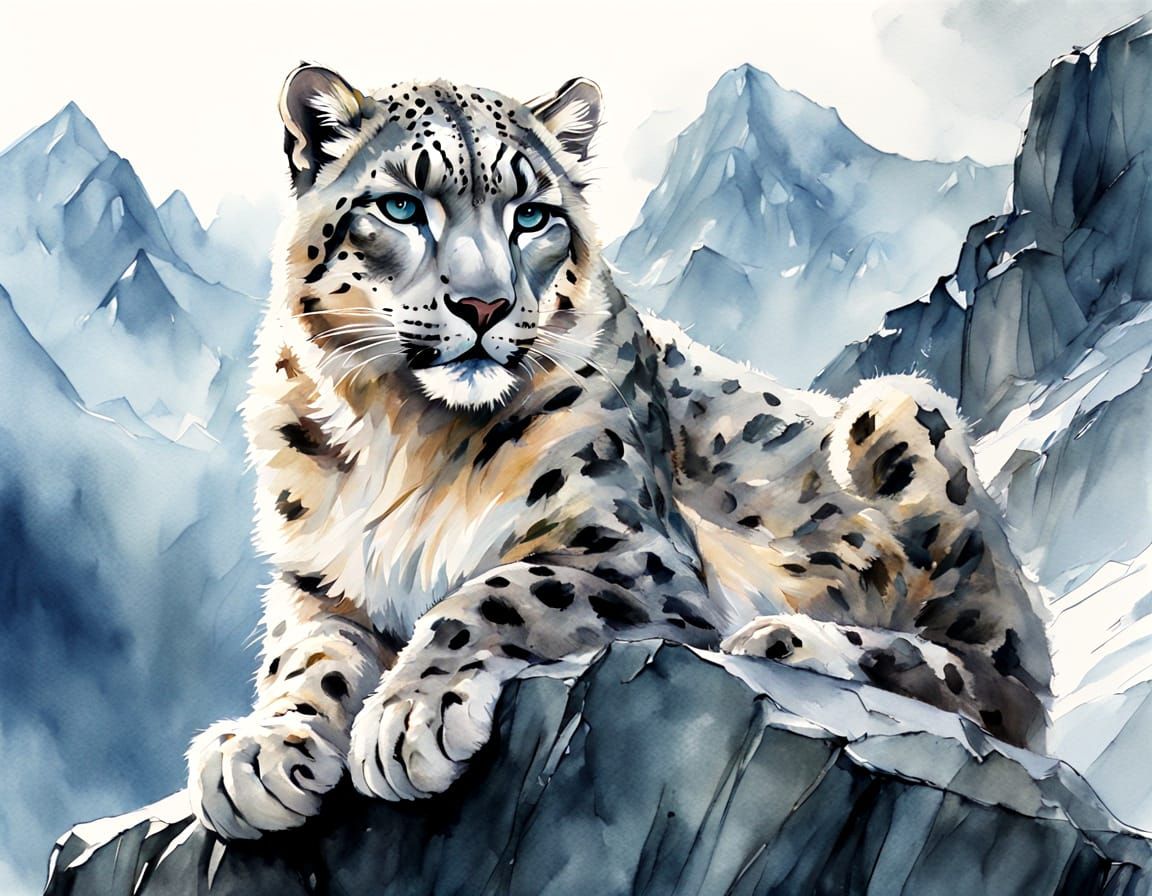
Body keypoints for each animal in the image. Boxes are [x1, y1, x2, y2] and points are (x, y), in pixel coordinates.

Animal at [186, 63, 1051, 840]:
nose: (482, 304)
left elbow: (494, 591)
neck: (404, 431)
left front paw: (410, 716)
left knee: (998, 694)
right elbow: (303, 655)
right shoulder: (319, 579)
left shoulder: (639, 557)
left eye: (531, 215)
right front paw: (262, 750)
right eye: (401, 205)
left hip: (897, 415)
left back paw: (786, 639)